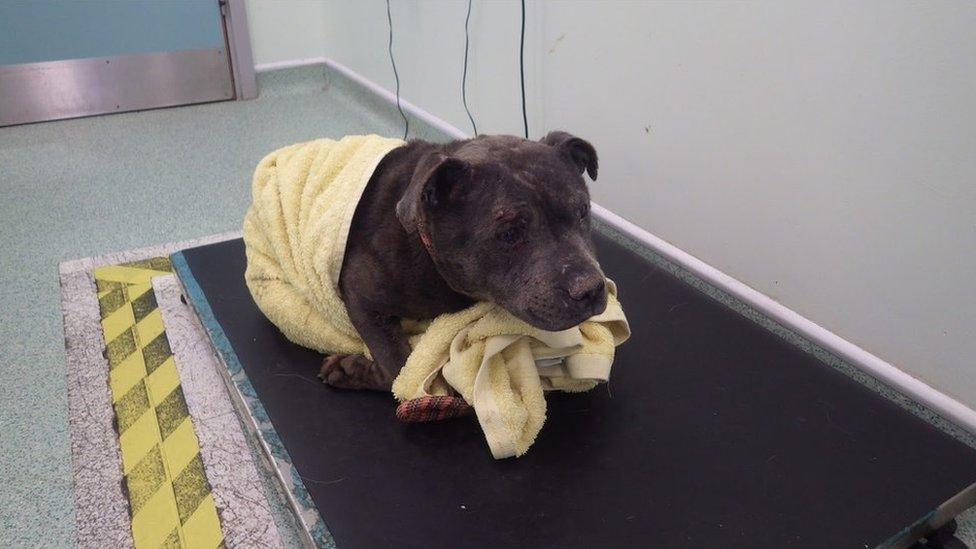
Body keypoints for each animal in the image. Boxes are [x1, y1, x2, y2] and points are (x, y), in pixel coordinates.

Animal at [320, 132, 608, 390]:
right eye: (510, 234)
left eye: (582, 211)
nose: (591, 289)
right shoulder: (360, 295)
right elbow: (398, 366)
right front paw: (353, 371)